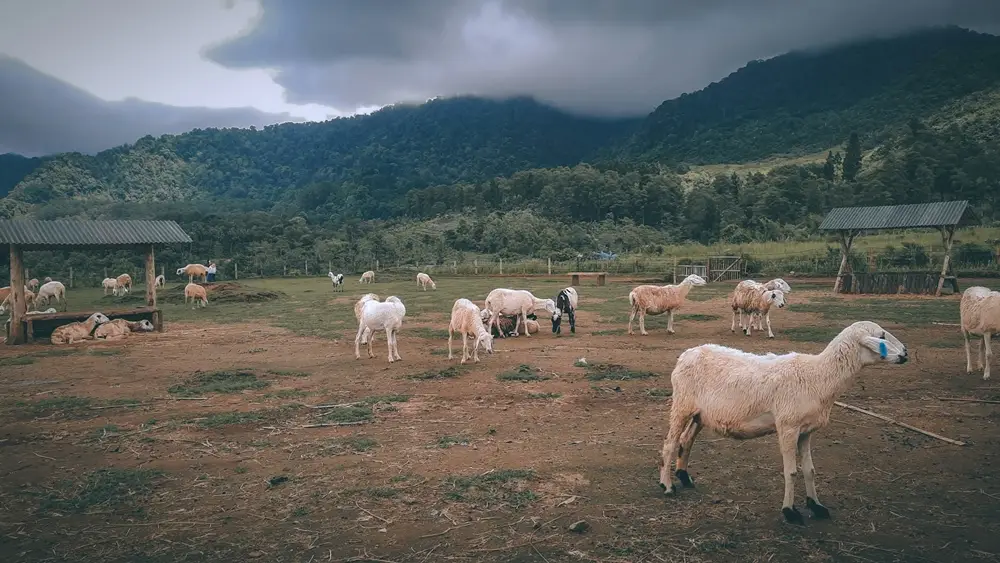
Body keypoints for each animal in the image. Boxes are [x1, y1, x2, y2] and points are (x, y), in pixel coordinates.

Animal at [660, 322, 912, 528]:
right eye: (881, 335)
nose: (905, 353)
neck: (819, 375)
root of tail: (688, 353)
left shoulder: (806, 430)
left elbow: (810, 470)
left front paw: (816, 505)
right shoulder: (788, 426)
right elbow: (791, 472)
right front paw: (790, 512)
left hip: (700, 414)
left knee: (686, 441)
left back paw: (684, 477)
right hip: (682, 405)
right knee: (671, 444)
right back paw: (667, 485)